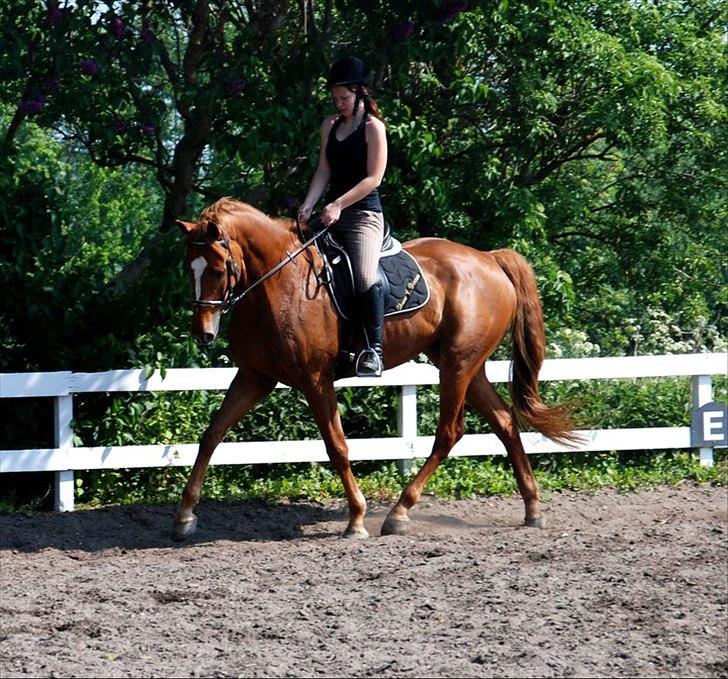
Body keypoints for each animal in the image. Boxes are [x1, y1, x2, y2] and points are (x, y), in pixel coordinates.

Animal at [172, 198, 576, 540]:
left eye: (218, 269)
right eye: (188, 269)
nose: (204, 334)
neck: (277, 283)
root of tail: (490, 260)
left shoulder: (315, 381)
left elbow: (337, 446)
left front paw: (356, 519)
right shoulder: (255, 377)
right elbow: (211, 436)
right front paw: (185, 517)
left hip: (457, 366)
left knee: (450, 432)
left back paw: (399, 512)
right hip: (466, 366)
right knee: (505, 422)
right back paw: (532, 508)